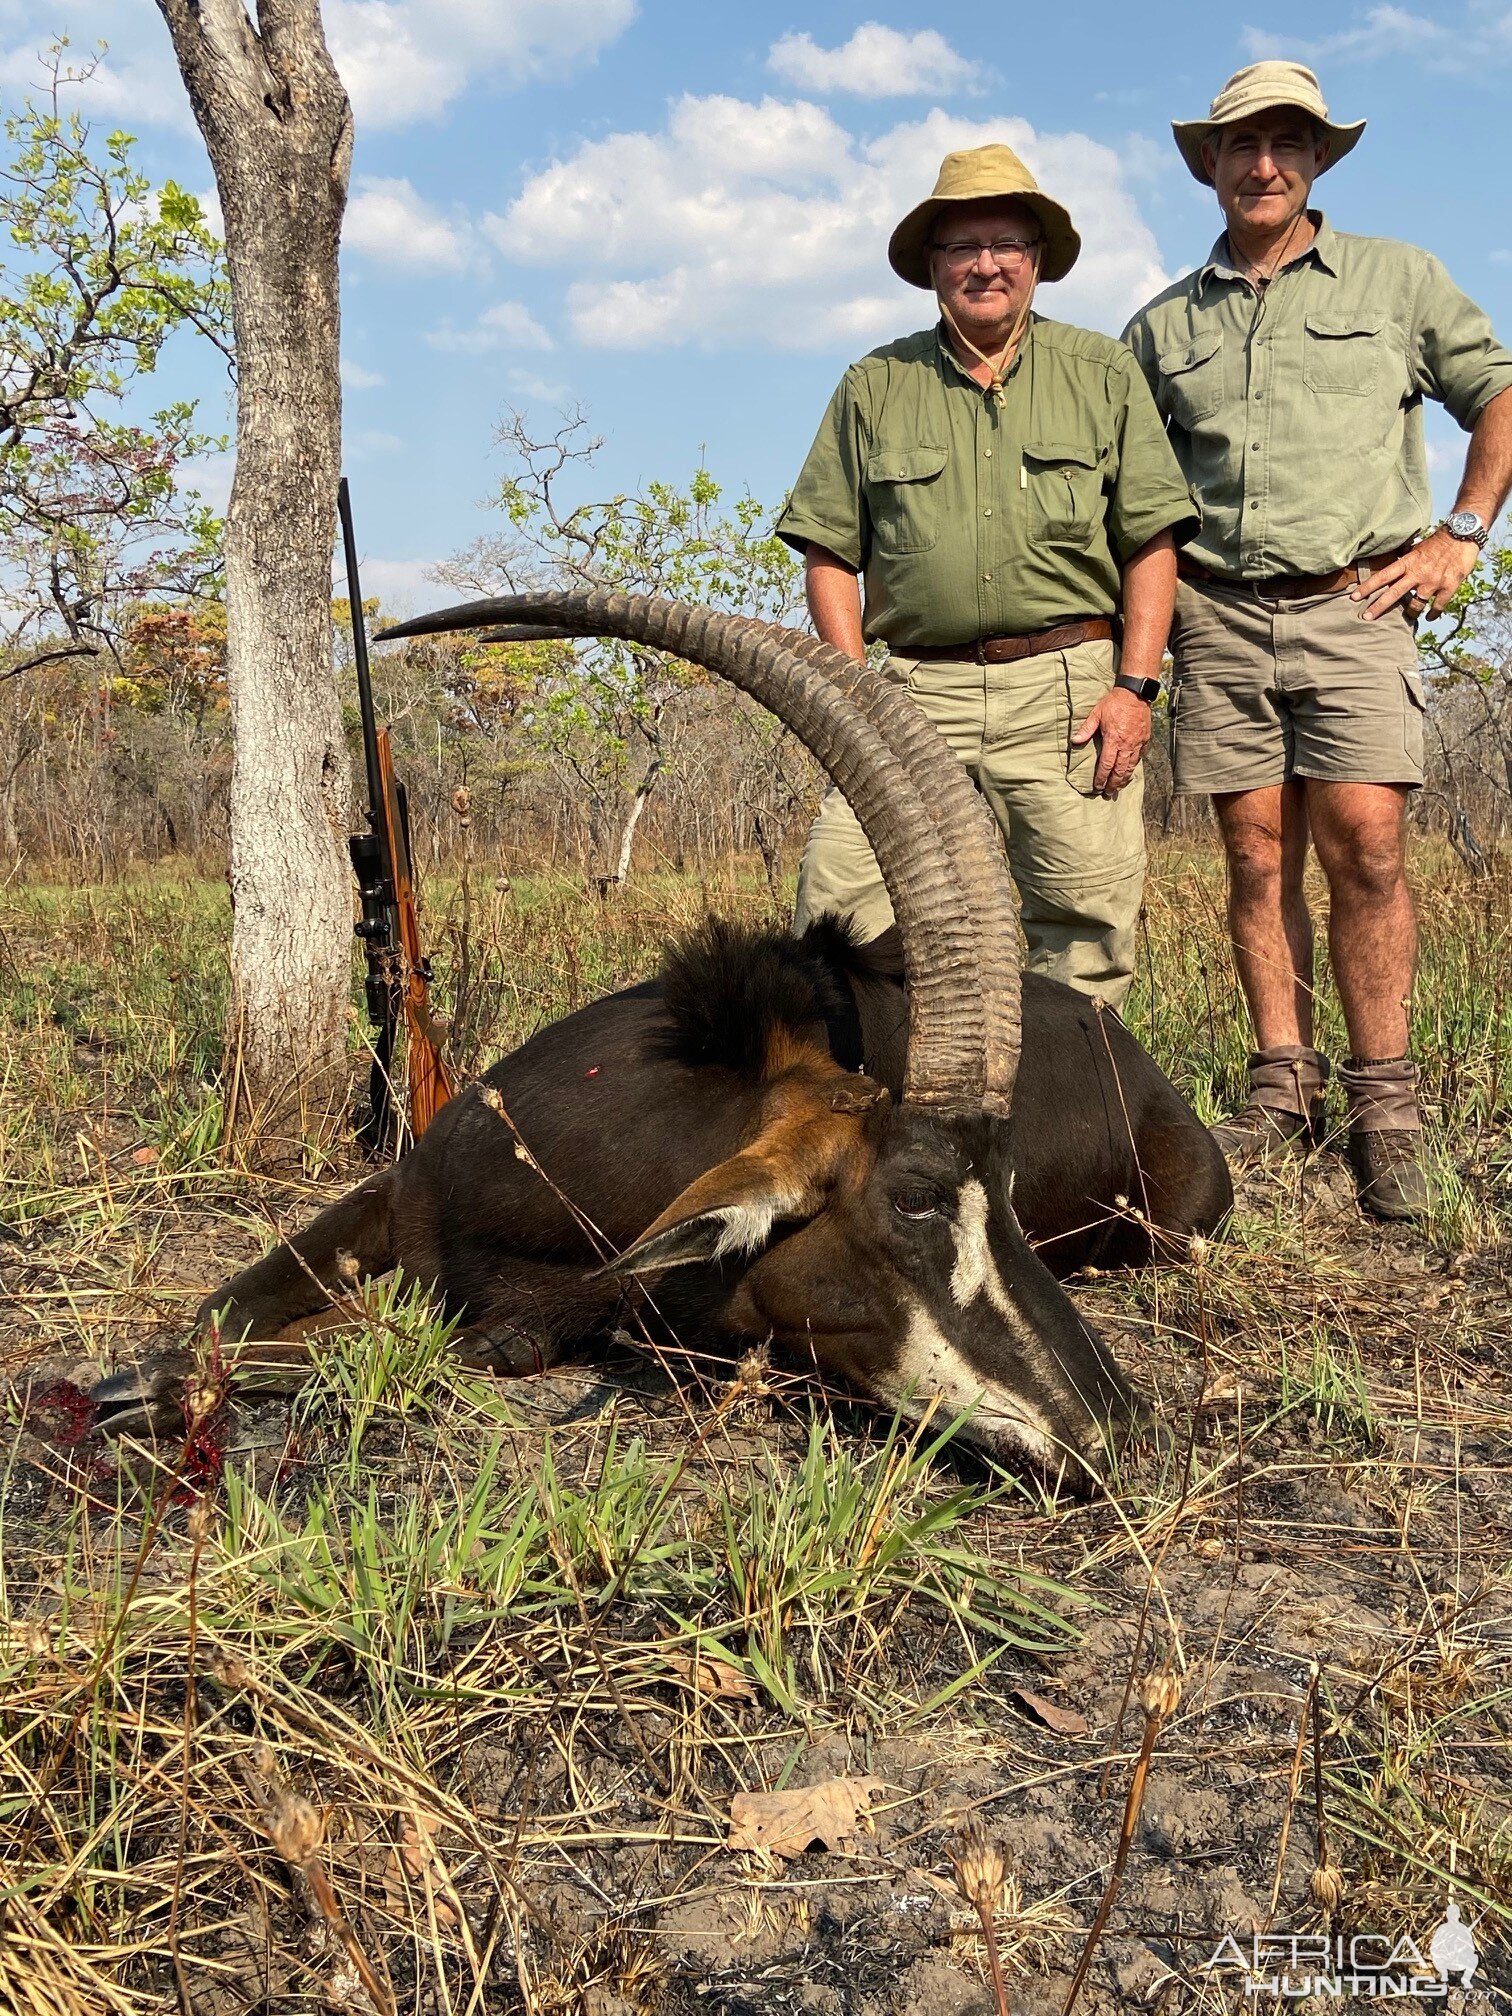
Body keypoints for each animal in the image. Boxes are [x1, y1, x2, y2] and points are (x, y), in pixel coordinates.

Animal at [94, 588, 1233, 1491]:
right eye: (915, 1196)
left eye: (1008, 1194)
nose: (1117, 1432)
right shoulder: (391, 1193)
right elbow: (224, 1308)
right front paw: (121, 1382)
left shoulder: (546, 1318)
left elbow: (394, 1338)